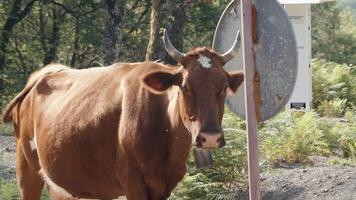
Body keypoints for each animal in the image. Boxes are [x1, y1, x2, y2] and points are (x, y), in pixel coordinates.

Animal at [2, 30, 242, 200]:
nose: (210, 137)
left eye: (224, 86)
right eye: (185, 86)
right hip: (26, 168)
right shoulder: (133, 182)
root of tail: (47, 72)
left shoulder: (165, 185)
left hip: (61, 184)